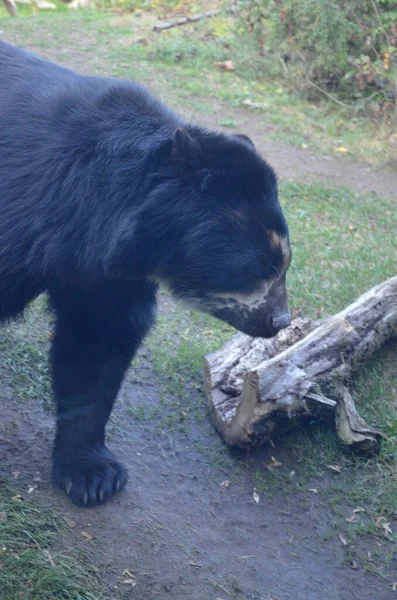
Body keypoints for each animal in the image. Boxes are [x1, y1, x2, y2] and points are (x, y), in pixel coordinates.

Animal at [0, 41, 290, 506]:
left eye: (286, 263)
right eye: (260, 269)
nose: (280, 320)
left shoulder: (103, 273)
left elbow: (97, 343)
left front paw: (92, 474)